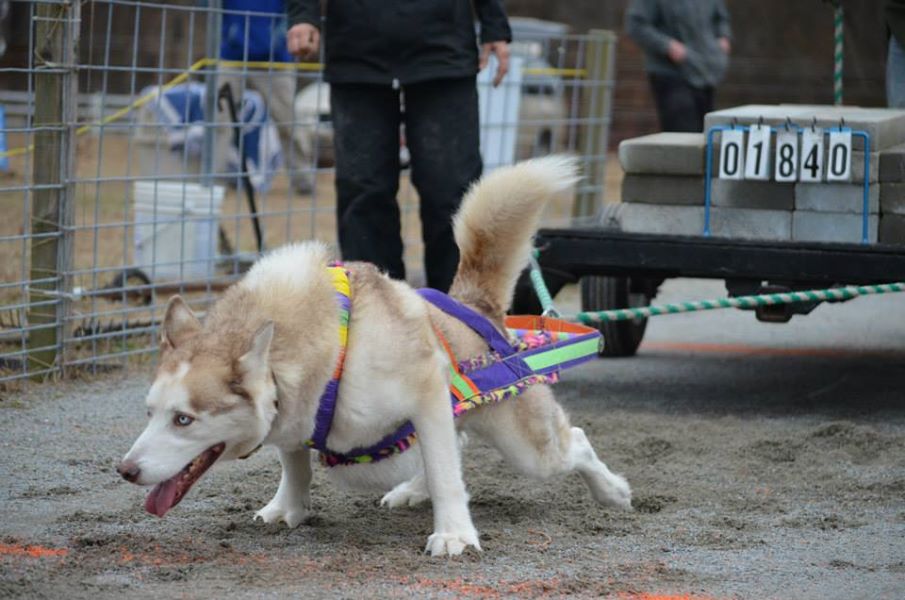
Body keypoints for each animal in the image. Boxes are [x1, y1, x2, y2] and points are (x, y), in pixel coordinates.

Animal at [118, 156, 628, 556]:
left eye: (183, 419)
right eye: (148, 412)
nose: (124, 470)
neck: (327, 345)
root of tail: (471, 305)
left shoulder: (425, 391)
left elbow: (445, 473)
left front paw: (454, 534)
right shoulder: (296, 415)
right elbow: (295, 463)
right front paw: (288, 508)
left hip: (527, 446)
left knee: (572, 442)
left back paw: (612, 491)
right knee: (458, 443)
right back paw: (411, 490)